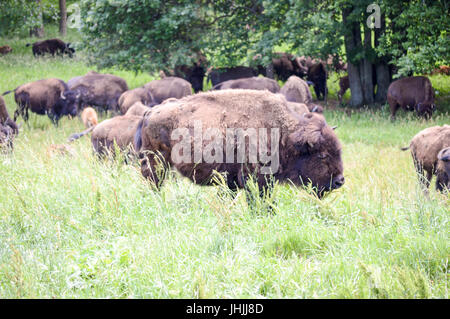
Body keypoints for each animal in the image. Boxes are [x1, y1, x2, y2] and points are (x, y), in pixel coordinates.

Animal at [134, 89, 344, 199]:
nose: (340, 181)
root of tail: (150, 112)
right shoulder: (257, 179)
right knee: (153, 179)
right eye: (322, 155)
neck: (283, 133)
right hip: (157, 161)